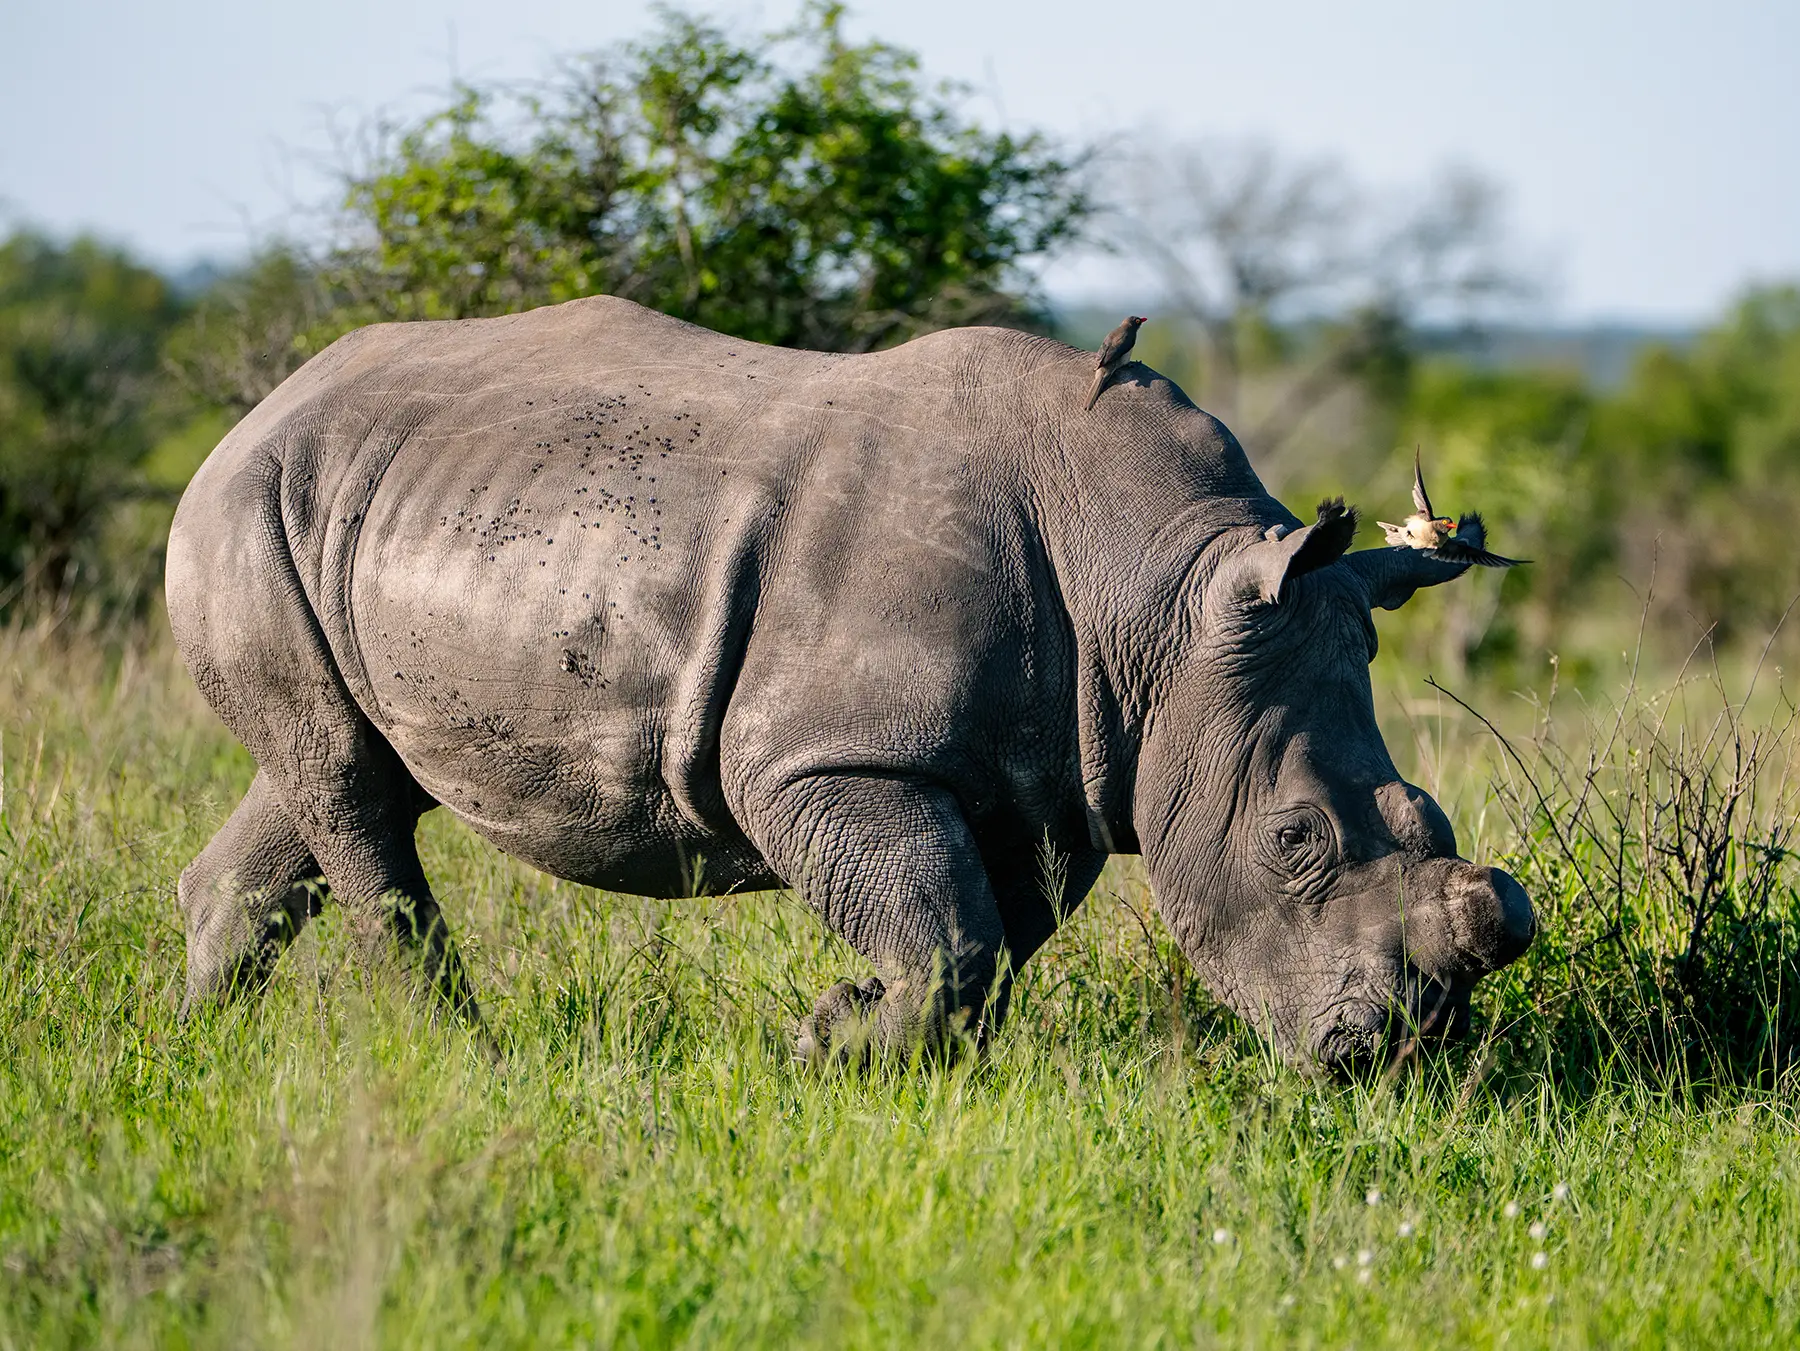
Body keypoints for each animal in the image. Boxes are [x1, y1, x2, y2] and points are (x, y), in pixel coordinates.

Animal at [166, 296, 1534, 1070]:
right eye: (1295, 840)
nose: (1387, 1055)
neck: (1157, 598)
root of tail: (259, 406)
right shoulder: (823, 757)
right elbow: (953, 939)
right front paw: (828, 1043)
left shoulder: (1057, 779)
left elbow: (984, 941)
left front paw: (843, 1027)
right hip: (248, 506)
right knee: (349, 786)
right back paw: (461, 1057)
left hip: (346, 505)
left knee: (330, 774)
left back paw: (194, 1044)